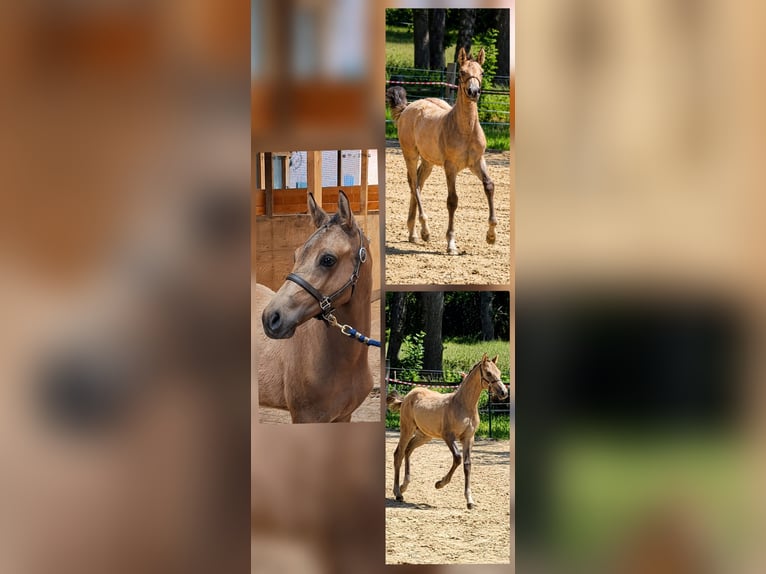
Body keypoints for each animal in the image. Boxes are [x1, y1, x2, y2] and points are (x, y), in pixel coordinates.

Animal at [386, 47, 497, 255]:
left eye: (481, 72)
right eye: (462, 72)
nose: (474, 91)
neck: (465, 130)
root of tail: (408, 108)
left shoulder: (477, 161)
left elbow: (489, 186)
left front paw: (491, 235)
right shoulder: (450, 166)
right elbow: (452, 200)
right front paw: (451, 243)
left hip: (428, 161)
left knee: (418, 183)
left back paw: (413, 233)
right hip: (410, 155)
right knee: (414, 184)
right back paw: (424, 230)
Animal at [387, 353, 508, 509]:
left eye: (499, 372)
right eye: (488, 373)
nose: (504, 393)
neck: (463, 405)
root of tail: (408, 396)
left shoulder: (469, 438)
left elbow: (467, 465)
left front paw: (469, 500)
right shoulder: (448, 436)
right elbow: (457, 458)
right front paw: (439, 483)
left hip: (424, 435)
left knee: (408, 450)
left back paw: (404, 486)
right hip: (407, 429)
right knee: (399, 453)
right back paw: (398, 493)